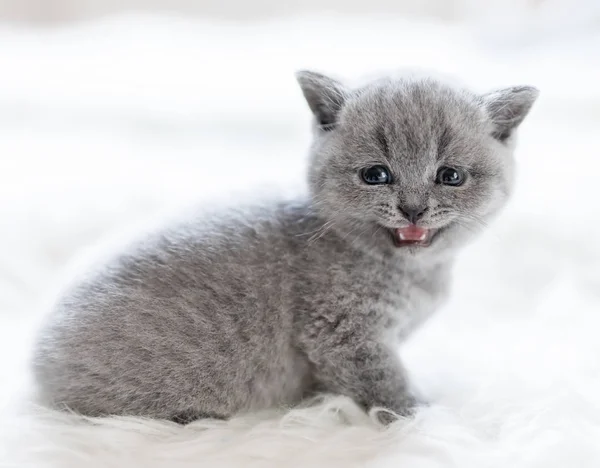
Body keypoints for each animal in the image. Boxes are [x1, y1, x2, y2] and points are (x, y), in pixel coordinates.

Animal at [31, 70, 540, 424]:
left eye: (450, 176)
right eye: (376, 174)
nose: (413, 209)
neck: (412, 272)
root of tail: (40, 365)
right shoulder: (343, 334)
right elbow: (386, 384)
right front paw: (423, 416)